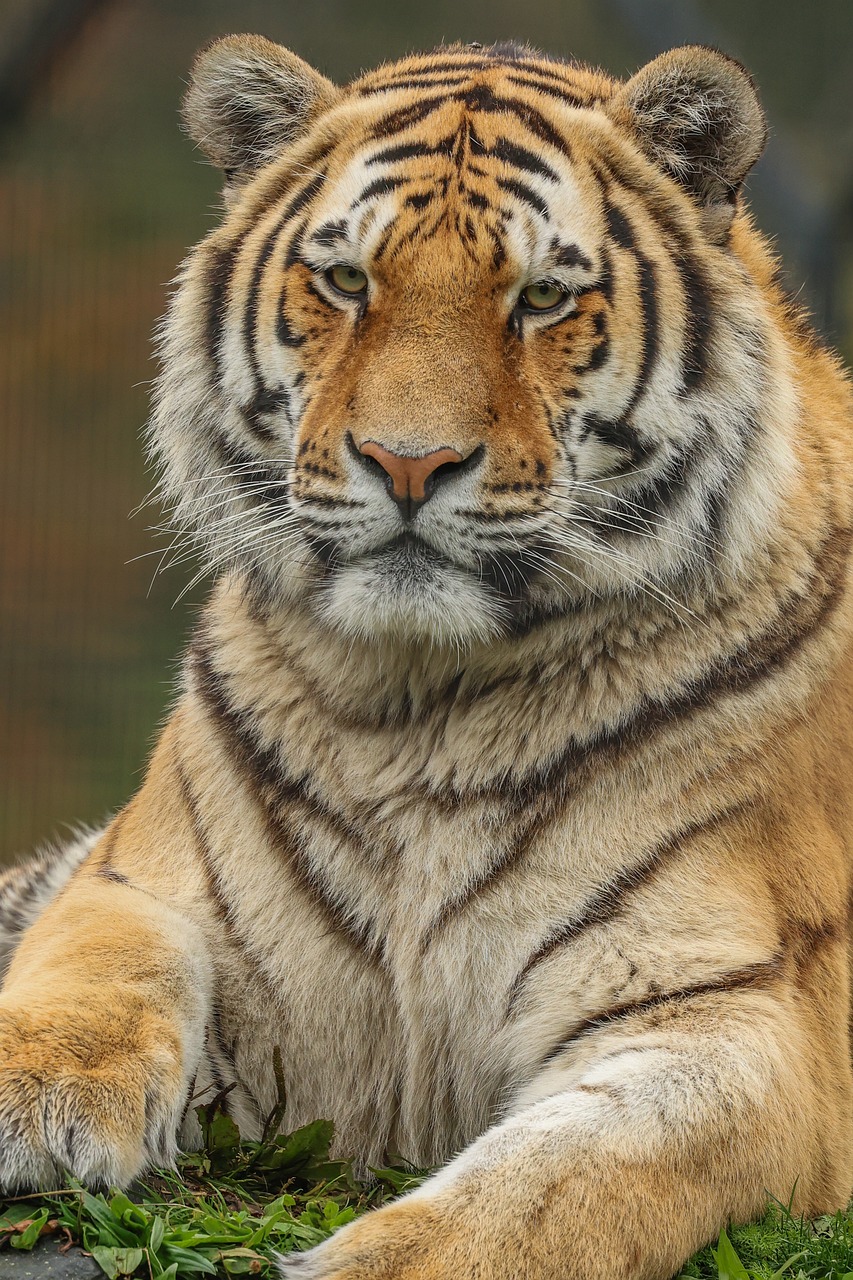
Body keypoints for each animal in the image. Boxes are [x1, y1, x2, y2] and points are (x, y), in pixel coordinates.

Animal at [1, 31, 853, 1280]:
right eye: (348, 282)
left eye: (542, 296)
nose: (408, 463)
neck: (418, 699)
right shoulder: (139, 877)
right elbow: (91, 969)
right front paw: (30, 1093)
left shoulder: (731, 1008)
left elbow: (551, 1190)